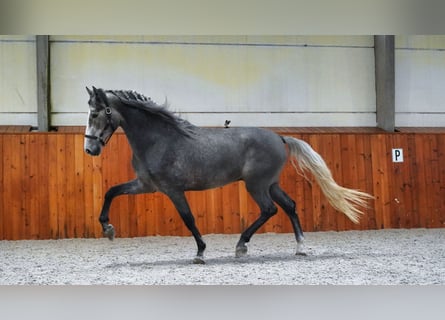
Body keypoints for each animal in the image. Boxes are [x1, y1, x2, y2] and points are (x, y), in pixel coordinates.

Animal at [83, 86, 372, 264]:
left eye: (95, 113)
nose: (90, 149)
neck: (159, 139)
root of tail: (280, 138)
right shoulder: (146, 185)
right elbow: (111, 192)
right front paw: (108, 229)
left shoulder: (173, 190)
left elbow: (188, 219)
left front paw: (200, 253)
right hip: (270, 184)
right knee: (289, 206)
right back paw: (300, 247)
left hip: (257, 185)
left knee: (269, 210)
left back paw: (241, 246)